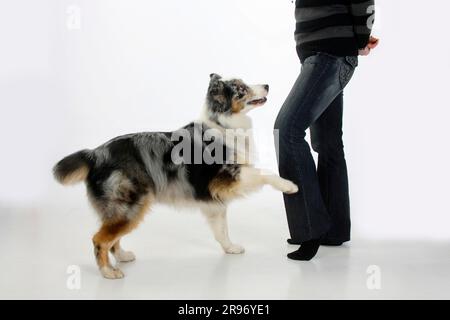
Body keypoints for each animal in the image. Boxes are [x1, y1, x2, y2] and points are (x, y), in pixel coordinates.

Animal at [53, 74, 298, 278]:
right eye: (241, 88)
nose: (267, 85)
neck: (223, 124)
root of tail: (94, 154)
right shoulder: (227, 175)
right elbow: (265, 172)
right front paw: (289, 185)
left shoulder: (213, 198)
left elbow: (221, 229)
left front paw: (230, 248)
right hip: (130, 204)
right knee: (100, 239)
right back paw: (108, 272)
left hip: (122, 207)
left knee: (111, 237)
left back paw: (122, 256)